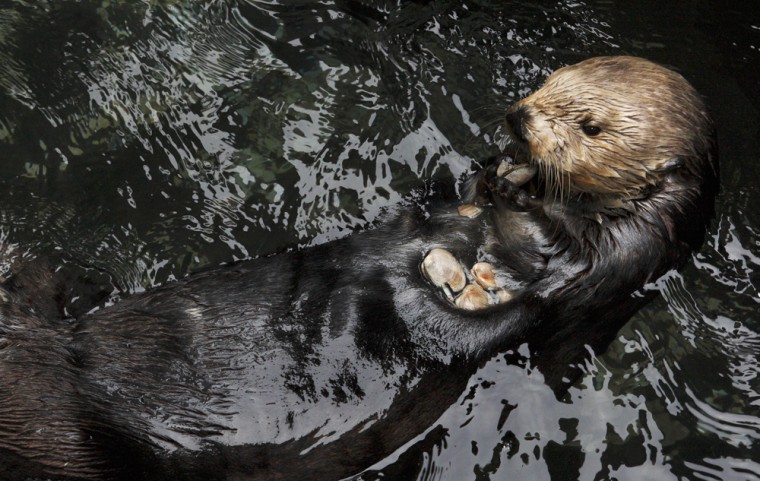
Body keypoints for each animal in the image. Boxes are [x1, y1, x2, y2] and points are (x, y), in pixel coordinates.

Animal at [0, 55, 716, 476]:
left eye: (591, 126)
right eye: (549, 80)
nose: (518, 116)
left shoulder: (620, 261)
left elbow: (554, 280)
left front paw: (504, 217)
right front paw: (490, 175)